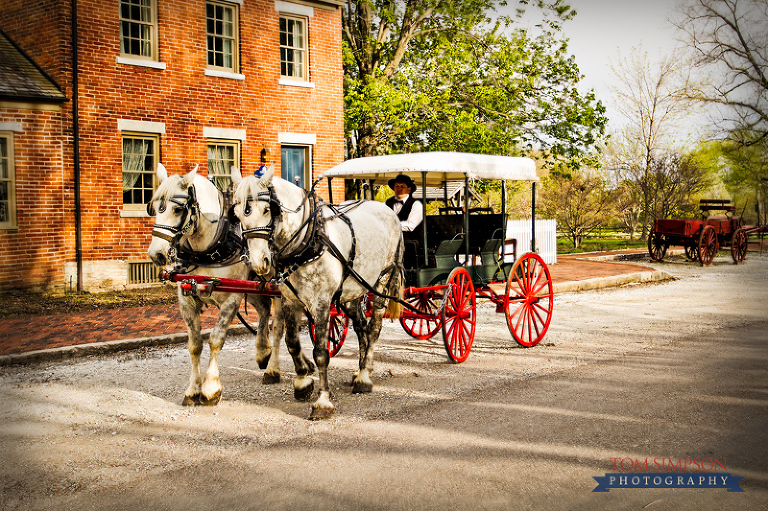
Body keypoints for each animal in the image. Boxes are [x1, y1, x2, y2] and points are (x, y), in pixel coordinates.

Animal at [147, 162, 312, 406]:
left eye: (178, 210)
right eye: (154, 207)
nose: (156, 254)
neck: (207, 248)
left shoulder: (231, 300)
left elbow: (216, 339)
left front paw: (210, 388)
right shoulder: (187, 300)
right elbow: (194, 345)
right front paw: (192, 389)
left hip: (279, 290)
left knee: (279, 325)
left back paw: (273, 368)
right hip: (253, 287)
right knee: (264, 311)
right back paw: (266, 352)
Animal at [231, 167, 404, 420]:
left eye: (266, 210)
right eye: (238, 214)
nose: (258, 262)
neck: (306, 242)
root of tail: (387, 210)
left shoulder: (321, 303)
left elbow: (321, 352)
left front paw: (323, 401)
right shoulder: (290, 300)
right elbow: (292, 342)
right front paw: (303, 383)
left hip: (382, 281)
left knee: (373, 328)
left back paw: (364, 377)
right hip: (353, 290)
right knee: (360, 325)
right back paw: (361, 369)